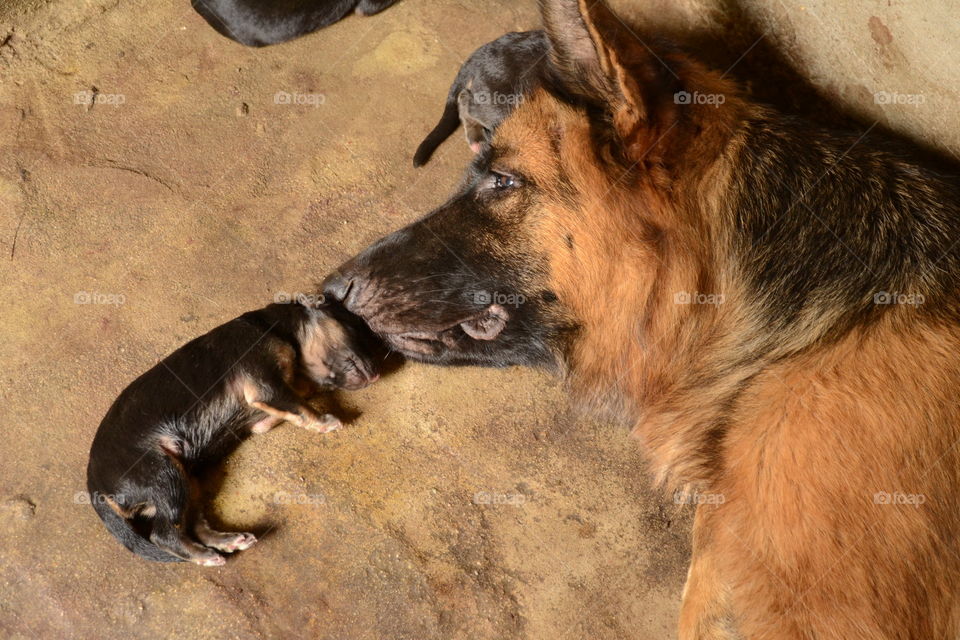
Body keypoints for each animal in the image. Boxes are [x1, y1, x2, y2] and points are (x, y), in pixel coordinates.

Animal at [87, 300, 378, 564]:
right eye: (353, 326)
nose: (376, 373)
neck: (274, 327)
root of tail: (93, 482)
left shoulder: (264, 413)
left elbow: (295, 400)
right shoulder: (263, 382)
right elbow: (299, 405)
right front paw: (326, 421)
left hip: (186, 478)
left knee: (192, 524)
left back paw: (229, 541)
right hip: (163, 473)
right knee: (164, 534)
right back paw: (205, 556)